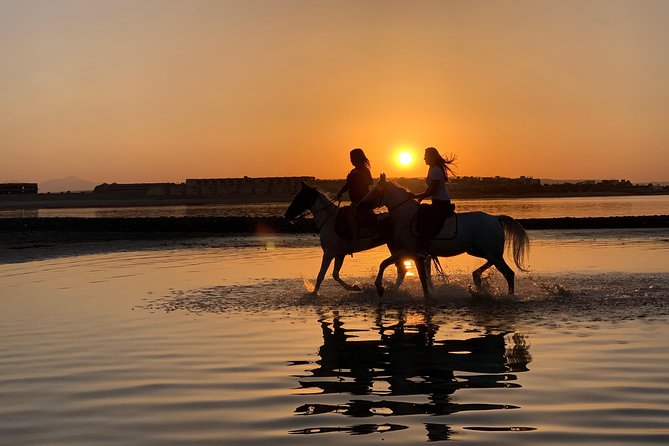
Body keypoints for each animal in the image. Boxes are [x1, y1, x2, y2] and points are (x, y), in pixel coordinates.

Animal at [359, 174, 530, 298]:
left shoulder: (408, 251)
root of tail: (495, 218)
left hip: (490, 252)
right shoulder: (414, 254)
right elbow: (421, 277)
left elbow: (384, 264)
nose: (360, 206)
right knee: (493, 265)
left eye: (375, 191)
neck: (406, 216)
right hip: (478, 250)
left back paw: (508, 296)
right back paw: (477, 278)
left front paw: (380, 287)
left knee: (509, 273)